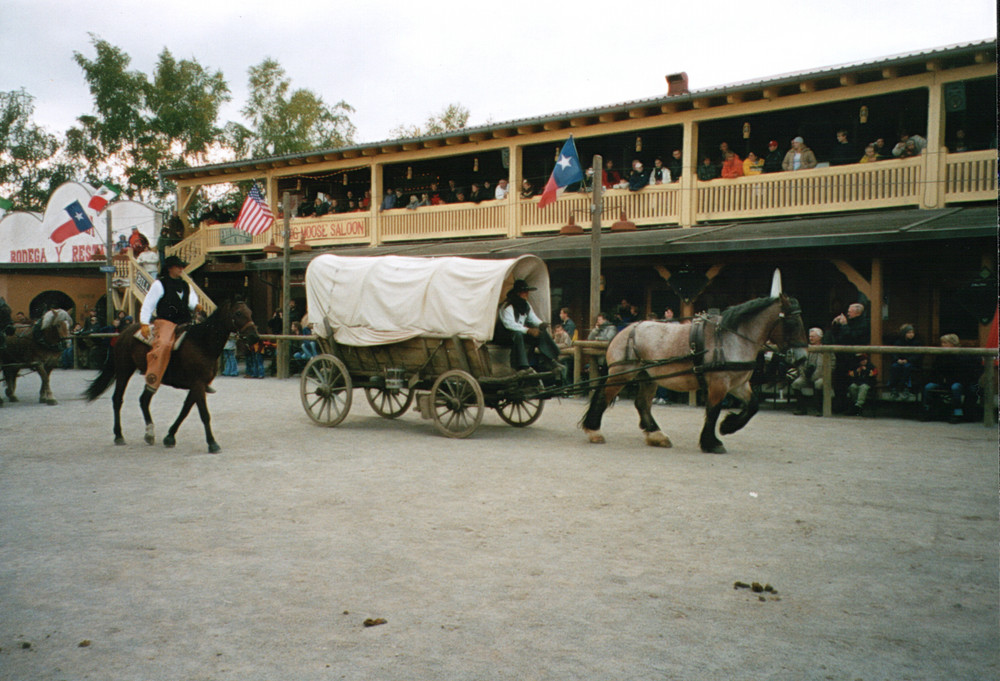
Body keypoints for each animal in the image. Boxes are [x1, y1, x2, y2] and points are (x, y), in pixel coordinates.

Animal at [84, 298, 260, 452]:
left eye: (251, 312)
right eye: (238, 313)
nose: (254, 337)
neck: (202, 343)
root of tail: (123, 334)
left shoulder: (198, 385)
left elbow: (185, 410)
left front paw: (170, 437)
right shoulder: (197, 384)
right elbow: (204, 414)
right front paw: (212, 443)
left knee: (143, 400)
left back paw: (149, 434)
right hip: (124, 371)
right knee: (117, 399)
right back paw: (119, 435)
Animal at [584, 270, 808, 452]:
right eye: (791, 322)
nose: (802, 357)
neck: (732, 337)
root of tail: (624, 331)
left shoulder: (738, 384)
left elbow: (752, 406)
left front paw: (728, 426)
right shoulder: (719, 383)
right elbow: (713, 411)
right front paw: (712, 442)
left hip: (647, 376)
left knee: (642, 404)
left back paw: (656, 435)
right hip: (622, 374)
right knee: (604, 396)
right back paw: (594, 430)